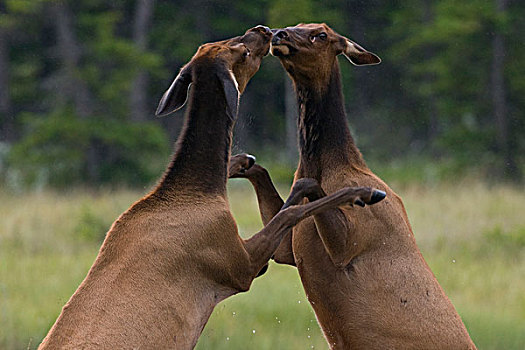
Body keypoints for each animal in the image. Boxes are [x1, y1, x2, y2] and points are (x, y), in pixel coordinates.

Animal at [35, 25, 380, 350]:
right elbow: (291, 211)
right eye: (242, 51)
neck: (191, 190)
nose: (263, 30)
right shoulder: (236, 263)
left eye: (212, 43)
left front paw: (242, 161)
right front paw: (363, 193)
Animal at [232, 23, 474, 348]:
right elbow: (262, 171)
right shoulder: (289, 250)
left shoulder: (351, 241)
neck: (329, 165)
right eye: (299, 24)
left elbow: (309, 187)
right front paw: (238, 162)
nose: (279, 33)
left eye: (321, 34)